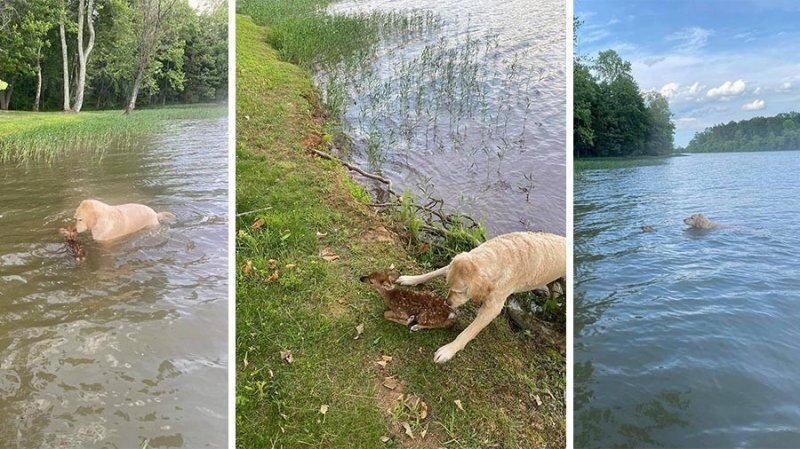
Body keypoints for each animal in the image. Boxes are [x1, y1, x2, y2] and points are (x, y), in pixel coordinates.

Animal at [396, 231, 564, 360]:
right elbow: (433, 272)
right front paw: (410, 279)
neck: (500, 255)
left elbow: (469, 331)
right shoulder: (452, 265)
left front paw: (448, 350)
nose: (447, 302)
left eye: (460, 292)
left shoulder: (492, 307)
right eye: (448, 286)